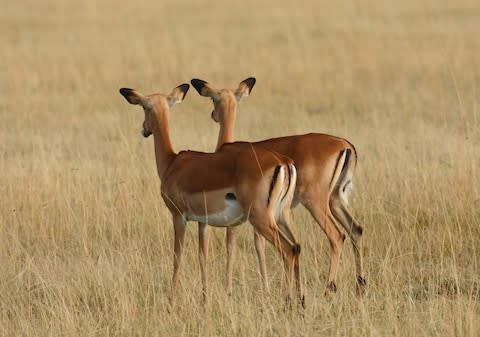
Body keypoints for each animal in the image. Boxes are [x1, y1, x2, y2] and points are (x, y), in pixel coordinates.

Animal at [117, 83, 302, 308]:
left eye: (144, 107)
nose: (144, 129)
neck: (172, 163)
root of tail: (283, 161)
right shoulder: (202, 222)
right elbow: (202, 257)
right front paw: (204, 301)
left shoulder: (178, 217)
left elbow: (177, 257)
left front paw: (171, 302)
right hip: (282, 216)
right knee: (297, 247)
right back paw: (301, 302)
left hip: (261, 219)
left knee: (288, 250)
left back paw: (287, 303)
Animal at [189, 77, 366, 294]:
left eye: (213, 99)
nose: (213, 115)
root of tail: (345, 145)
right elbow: (260, 245)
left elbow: (232, 245)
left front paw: (231, 290)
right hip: (335, 199)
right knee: (355, 230)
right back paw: (360, 285)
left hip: (315, 203)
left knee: (337, 236)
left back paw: (328, 288)